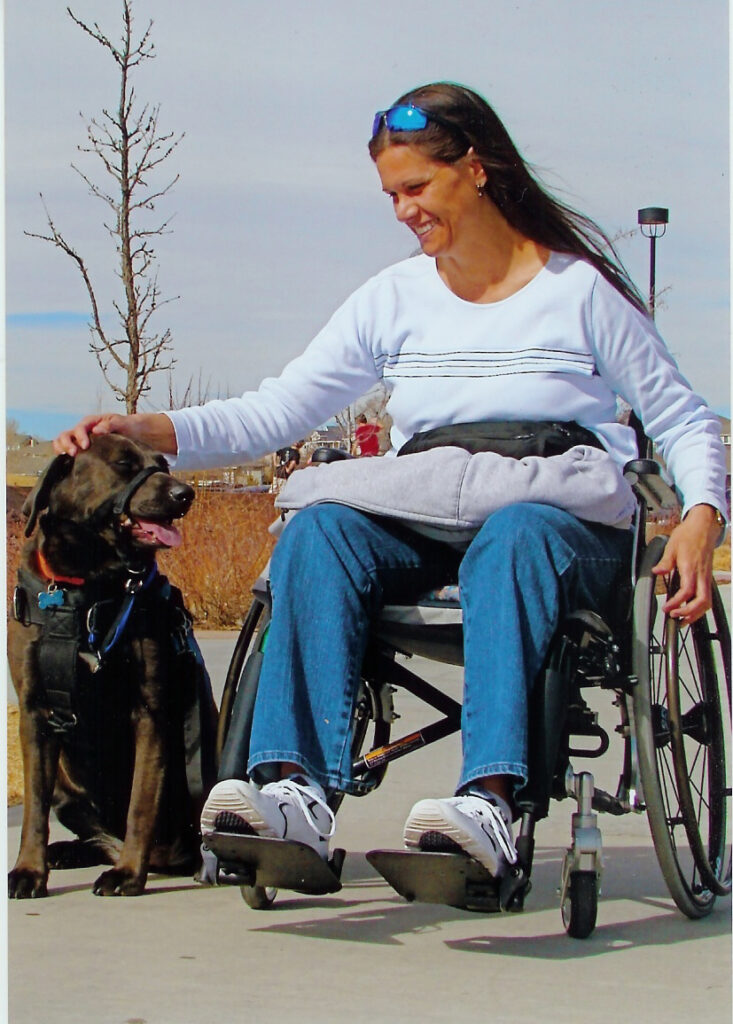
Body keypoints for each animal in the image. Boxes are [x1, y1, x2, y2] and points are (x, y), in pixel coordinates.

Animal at [7, 432, 218, 897]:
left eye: (162, 464)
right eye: (123, 465)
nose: (186, 494)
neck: (88, 586)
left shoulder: (150, 713)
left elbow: (141, 803)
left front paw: (128, 874)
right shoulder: (33, 712)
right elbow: (33, 810)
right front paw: (29, 870)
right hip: (67, 788)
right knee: (97, 835)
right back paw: (67, 852)